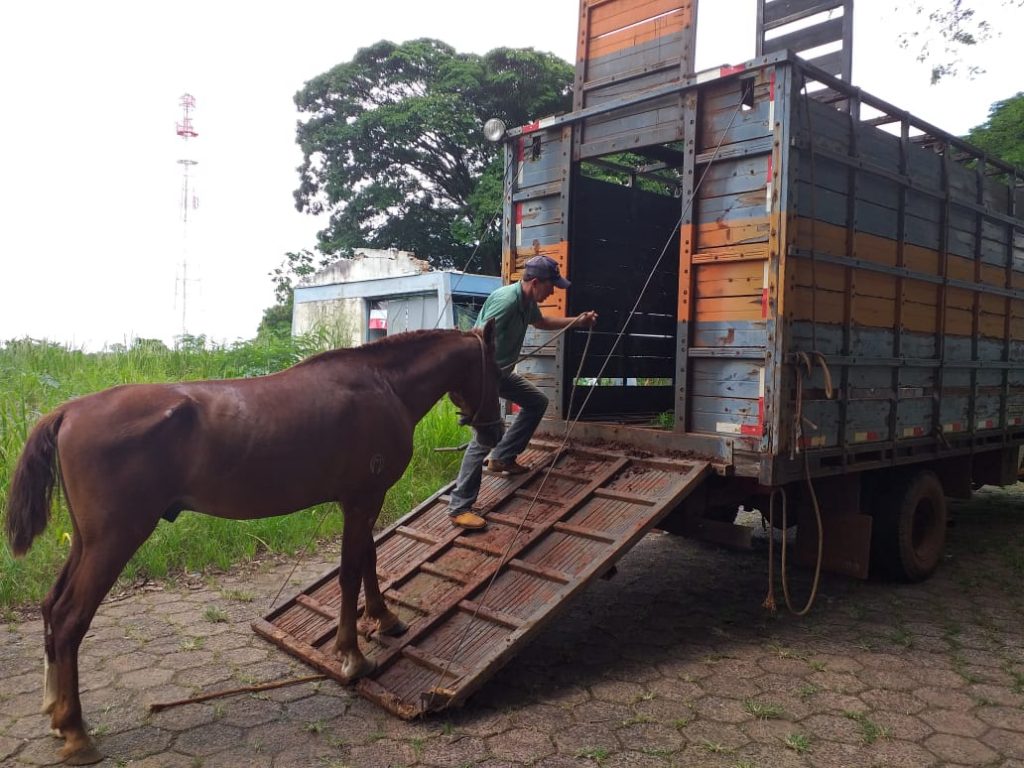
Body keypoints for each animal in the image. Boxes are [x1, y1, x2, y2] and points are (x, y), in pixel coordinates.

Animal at [6, 321, 501, 765]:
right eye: (496, 368)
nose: (494, 431)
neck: (382, 386)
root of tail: (68, 411)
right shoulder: (362, 499)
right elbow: (349, 571)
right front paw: (353, 656)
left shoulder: (364, 500)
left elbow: (368, 560)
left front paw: (385, 619)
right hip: (114, 539)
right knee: (70, 618)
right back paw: (76, 731)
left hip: (86, 541)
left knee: (51, 606)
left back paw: (56, 715)